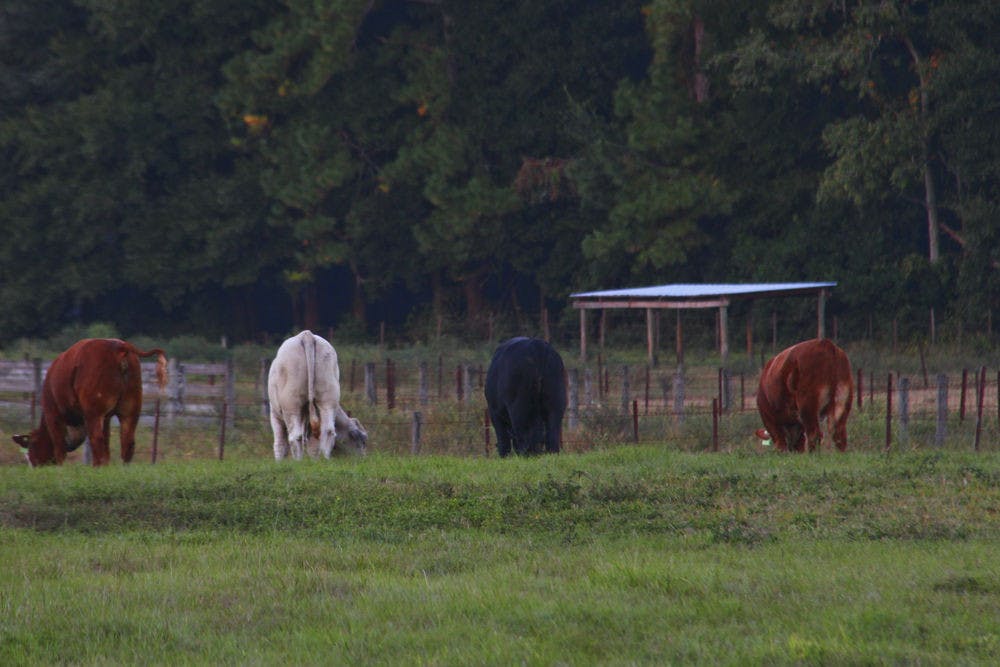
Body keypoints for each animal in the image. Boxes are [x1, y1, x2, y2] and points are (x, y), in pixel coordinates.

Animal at [12, 338, 167, 466]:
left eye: (32, 447)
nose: (34, 467)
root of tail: (120, 346)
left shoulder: (53, 414)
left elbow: (59, 447)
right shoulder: (107, 417)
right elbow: (107, 443)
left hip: (94, 412)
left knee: (96, 440)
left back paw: (97, 467)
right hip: (130, 409)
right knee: (127, 442)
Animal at [267, 330, 367, 460]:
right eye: (361, 440)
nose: (363, 458)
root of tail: (306, 334)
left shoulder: (275, 414)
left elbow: (280, 443)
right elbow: (313, 445)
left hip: (291, 404)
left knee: (295, 436)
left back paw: (298, 461)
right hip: (328, 396)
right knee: (328, 431)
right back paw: (324, 459)